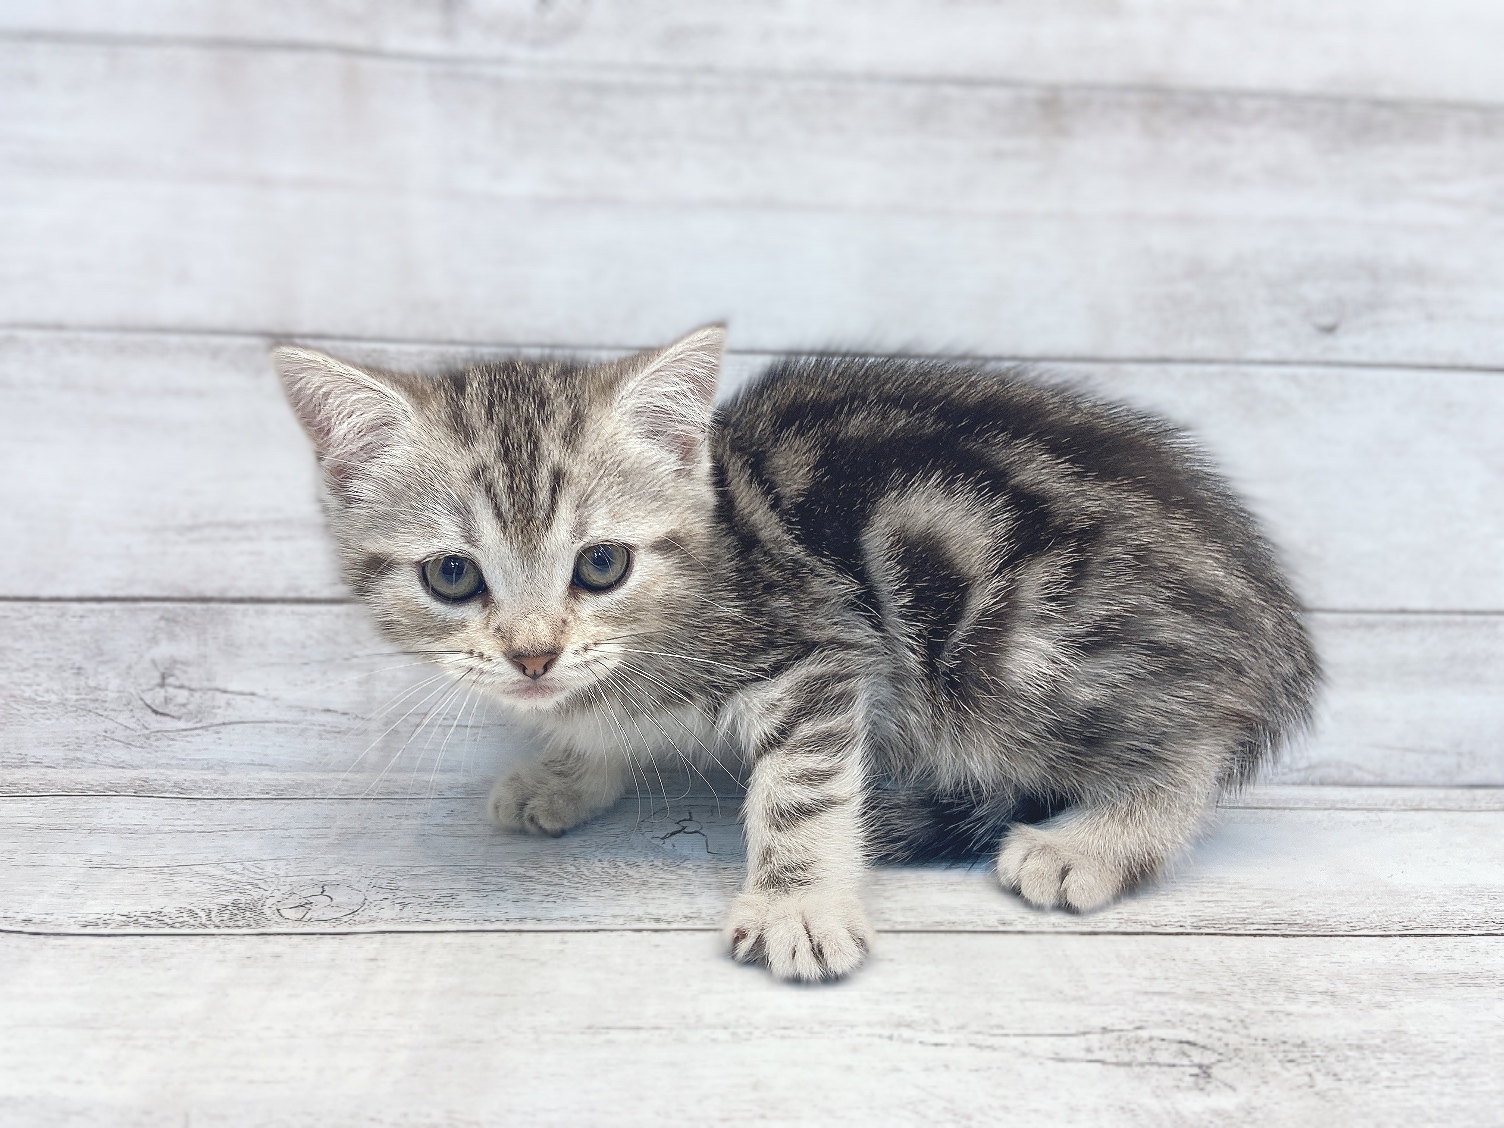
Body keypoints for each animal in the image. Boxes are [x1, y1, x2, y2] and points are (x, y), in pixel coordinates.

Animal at [279, 324, 1317, 980]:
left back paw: (1098, 840)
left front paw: (798, 907)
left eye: (602, 564)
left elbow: (801, 789)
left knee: (1191, 740)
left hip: (1017, 654)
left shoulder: (819, 647)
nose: (533, 656)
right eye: (452, 576)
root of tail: (1270, 622)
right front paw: (569, 768)